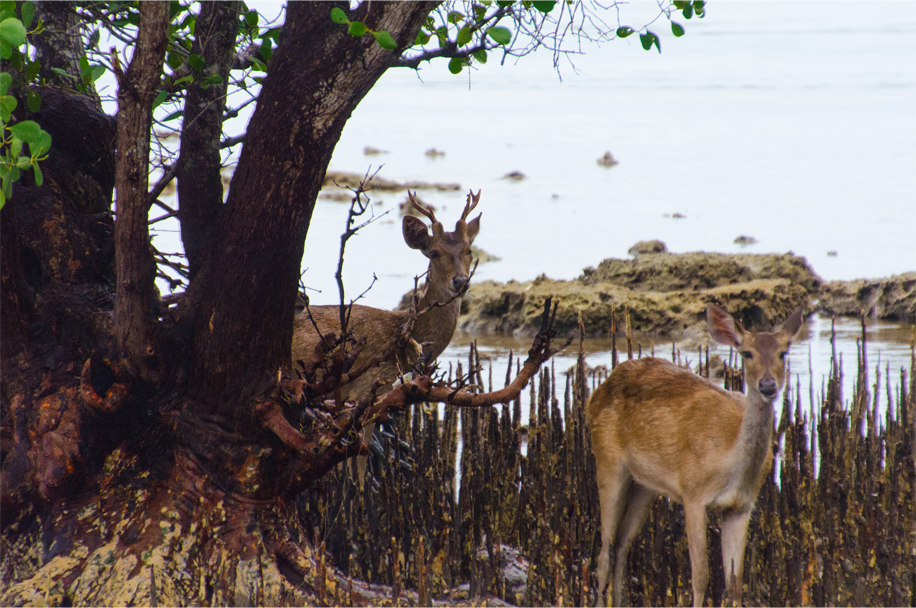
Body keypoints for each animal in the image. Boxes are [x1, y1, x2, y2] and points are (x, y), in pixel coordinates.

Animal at [587, 304, 803, 607]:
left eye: (784, 351)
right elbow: (700, 575)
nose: (768, 385)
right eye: (746, 353)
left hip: (645, 485)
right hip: (607, 460)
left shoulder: (741, 506)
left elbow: (735, 582)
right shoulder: (693, 494)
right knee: (604, 554)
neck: (728, 459)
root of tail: (595, 394)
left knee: (620, 545)